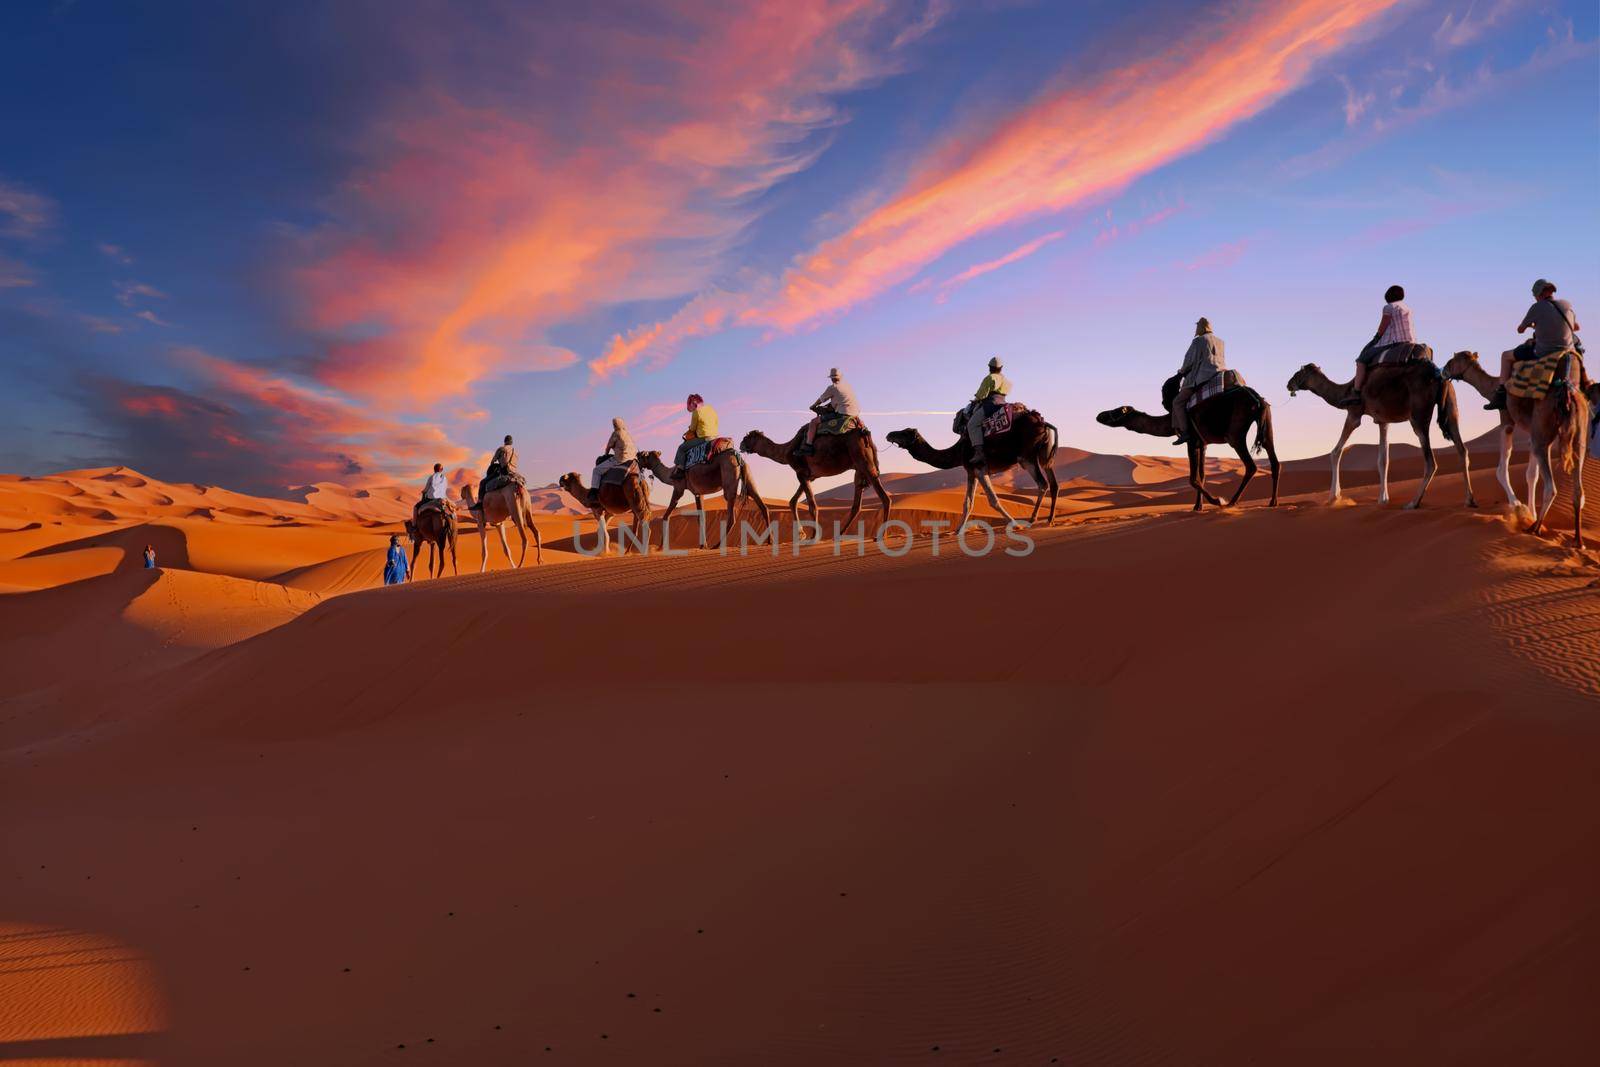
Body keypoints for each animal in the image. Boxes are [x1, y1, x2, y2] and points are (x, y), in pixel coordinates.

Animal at [630, 447, 768, 550]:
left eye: (643, 455)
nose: (636, 456)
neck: (669, 474)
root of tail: (737, 456)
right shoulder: (698, 493)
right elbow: (700, 517)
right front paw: (703, 545)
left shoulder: (678, 488)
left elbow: (666, 516)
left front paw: (660, 547)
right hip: (747, 476)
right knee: (761, 503)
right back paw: (769, 541)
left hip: (729, 476)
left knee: (731, 515)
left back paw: (717, 545)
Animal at [739, 425, 896, 534]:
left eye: (747, 438)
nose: (741, 445)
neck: (787, 450)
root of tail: (865, 434)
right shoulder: (809, 476)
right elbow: (793, 501)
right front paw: (801, 534)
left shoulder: (800, 473)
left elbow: (812, 506)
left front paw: (812, 536)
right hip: (859, 469)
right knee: (857, 505)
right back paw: (840, 534)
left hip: (864, 461)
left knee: (885, 498)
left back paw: (880, 535)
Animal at [889, 404, 1062, 531]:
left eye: (905, 433)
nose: (889, 434)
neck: (958, 450)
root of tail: (1043, 422)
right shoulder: (971, 472)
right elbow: (968, 503)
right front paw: (957, 531)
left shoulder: (979, 468)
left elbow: (993, 500)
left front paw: (1015, 524)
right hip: (1044, 455)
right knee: (1053, 484)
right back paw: (1050, 519)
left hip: (1027, 457)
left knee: (1043, 484)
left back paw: (1032, 519)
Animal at [1094, 379, 1280, 511]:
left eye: (1117, 411)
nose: (1099, 415)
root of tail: (1257, 398)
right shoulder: (1202, 444)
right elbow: (1202, 476)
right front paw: (1198, 507)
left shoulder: (1190, 440)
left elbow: (1193, 479)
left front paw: (1216, 500)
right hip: (1267, 422)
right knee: (1274, 459)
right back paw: (1272, 502)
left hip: (1235, 432)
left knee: (1251, 466)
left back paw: (1231, 502)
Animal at [1286, 361, 1472, 511]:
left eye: (1299, 372)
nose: (1289, 384)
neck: (1346, 391)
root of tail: (1440, 378)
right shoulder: (1383, 421)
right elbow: (1383, 460)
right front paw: (1383, 499)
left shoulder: (1354, 414)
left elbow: (1335, 452)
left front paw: (1334, 497)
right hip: (1452, 407)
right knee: (1462, 450)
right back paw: (1469, 500)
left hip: (1419, 415)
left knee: (1431, 462)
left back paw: (1413, 503)